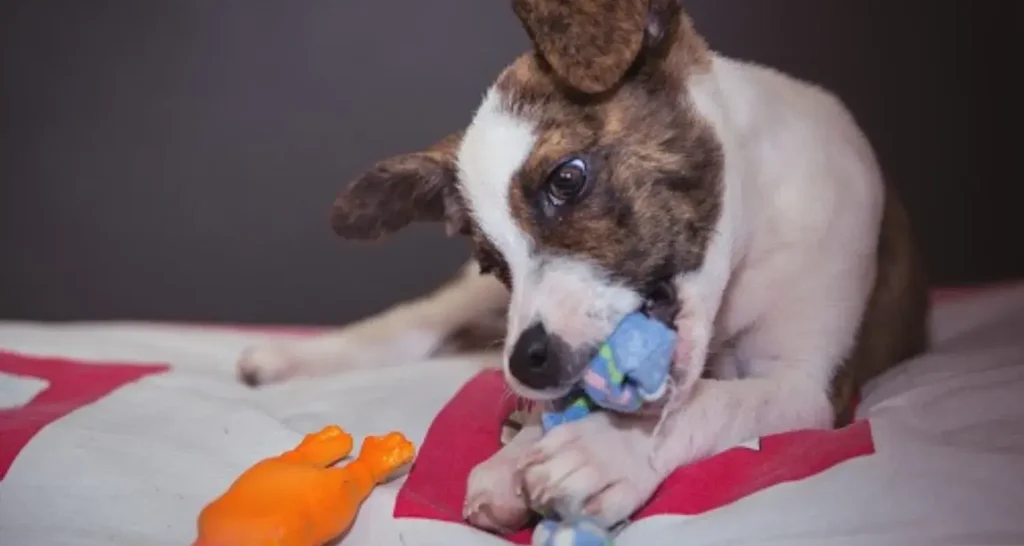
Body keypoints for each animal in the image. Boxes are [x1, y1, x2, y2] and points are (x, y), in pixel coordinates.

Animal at [235, 0, 933, 532]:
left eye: (567, 180)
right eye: (492, 259)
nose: (528, 365)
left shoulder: (808, 386)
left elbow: (711, 404)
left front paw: (605, 451)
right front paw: (533, 447)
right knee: (412, 327)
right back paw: (286, 358)